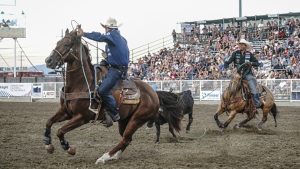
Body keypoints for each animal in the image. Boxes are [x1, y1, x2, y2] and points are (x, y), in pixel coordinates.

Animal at [43, 28, 159, 164]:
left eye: (67, 44)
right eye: (58, 42)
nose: (48, 60)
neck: (82, 83)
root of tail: (154, 94)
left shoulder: (82, 117)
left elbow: (60, 130)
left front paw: (68, 147)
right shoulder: (66, 112)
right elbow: (49, 122)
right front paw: (48, 144)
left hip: (136, 120)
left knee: (125, 138)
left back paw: (104, 157)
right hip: (124, 120)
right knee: (127, 139)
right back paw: (114, 156)